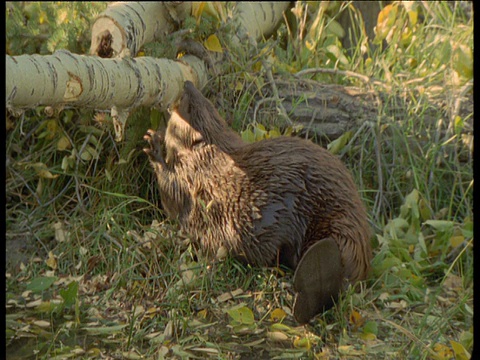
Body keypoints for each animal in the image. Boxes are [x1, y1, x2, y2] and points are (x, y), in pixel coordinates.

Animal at [144, 81, 374, 324]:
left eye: (190, 108)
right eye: (206, 101)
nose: (187, 84)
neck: (210, 149)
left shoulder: (195, 175)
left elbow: (172, 198)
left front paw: (154, 145)